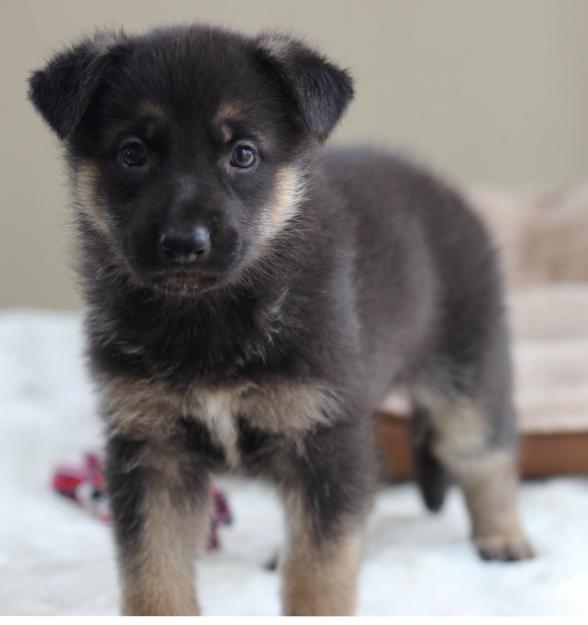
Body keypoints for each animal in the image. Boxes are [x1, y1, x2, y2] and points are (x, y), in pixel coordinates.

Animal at [27, 23, 532, 616]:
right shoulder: (152, 446)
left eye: (243, 154)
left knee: (486, 454)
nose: (183, 245)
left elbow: (320, 568)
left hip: (464, 375)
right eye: (132, 153)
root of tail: (449, 194)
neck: (210, 316)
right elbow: (153, 570)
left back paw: (503, 535)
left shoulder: (321, 435)